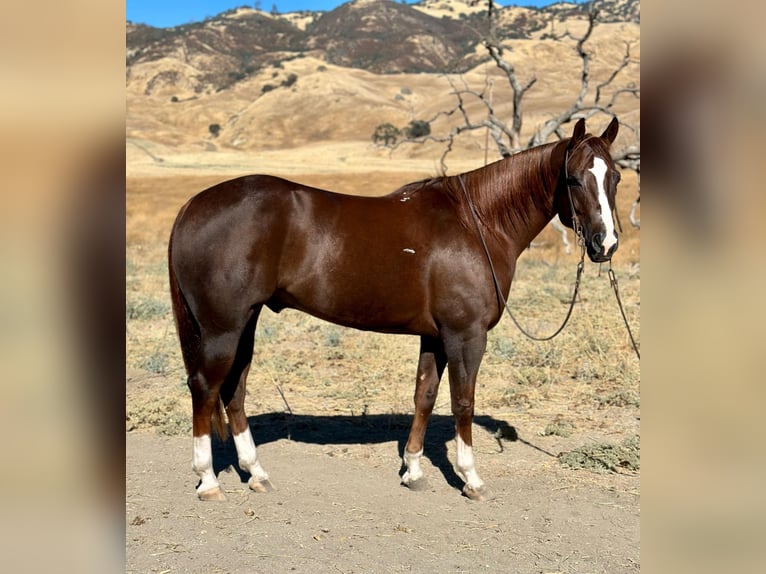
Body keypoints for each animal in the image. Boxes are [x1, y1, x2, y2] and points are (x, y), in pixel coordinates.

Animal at [168, 118, 624, 504]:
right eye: (574, 178)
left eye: (615, 177)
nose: (606, 244)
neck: (476, 223)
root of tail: (193, 205)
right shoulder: (466, 335)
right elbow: (463, 401)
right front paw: (471, 478)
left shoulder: (435, 336)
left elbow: (425, 396)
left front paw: (413, 471)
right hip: (223, 328)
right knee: (206, 388)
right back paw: (208, 480)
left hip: (245, 322)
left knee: (234, 389)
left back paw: (256, 473)